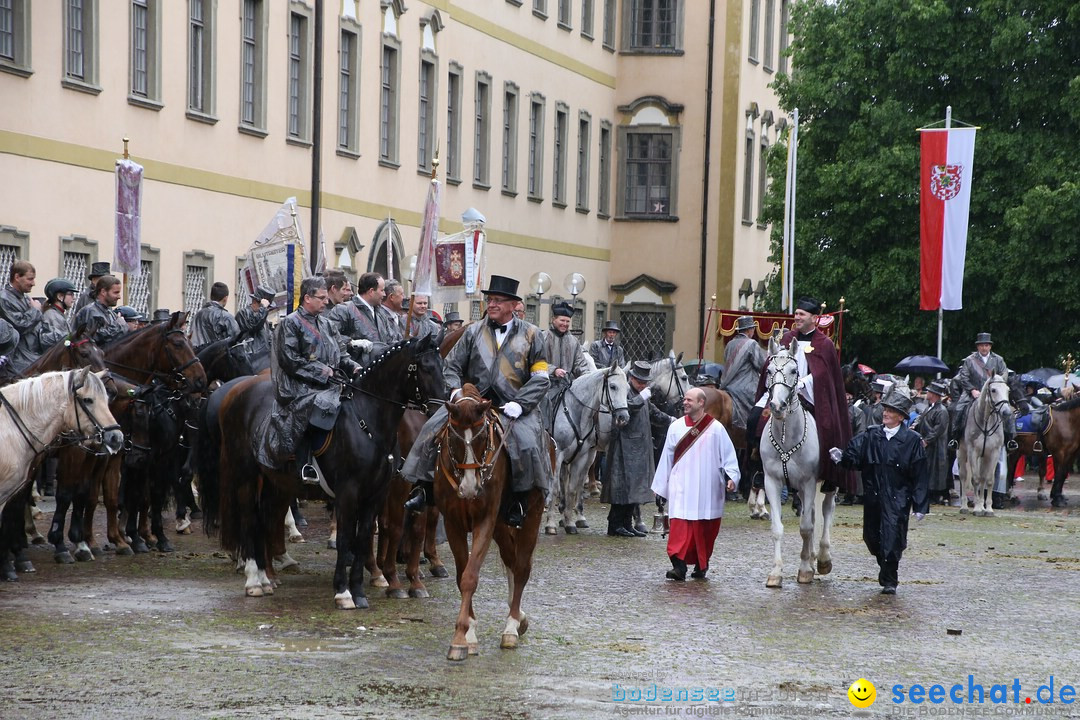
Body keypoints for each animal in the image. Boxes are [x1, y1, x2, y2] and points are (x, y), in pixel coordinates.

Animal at [203, 334, 442, 604]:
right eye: (426, 367)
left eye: (441, 364)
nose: (442, 409)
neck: (367, 421)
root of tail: (234, 393)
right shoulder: (349, 491)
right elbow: (346, 537)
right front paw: (343, 591)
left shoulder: (375, 493)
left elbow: (364, 536)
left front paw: (359, 592)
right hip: (246, 475)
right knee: (249, 518)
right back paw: (254, 579)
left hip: (274, 480)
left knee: (266, 518)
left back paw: (266, 578)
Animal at [434, 386, 544, 660]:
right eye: (455, 439)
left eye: (483, 437)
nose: (470, 488)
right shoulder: (453, 523)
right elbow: (461, 574)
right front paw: (469, 633)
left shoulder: (485, 520)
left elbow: (470, 577)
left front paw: (460, 639)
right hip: (502, 526)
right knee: (511, 560)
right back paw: (519, 618)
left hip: (532, 516)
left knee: (522, 568)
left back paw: (512, 626)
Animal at [963, 371, 1010, 518]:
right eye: (993, 390)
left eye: (1008, 390)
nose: (1006, 412)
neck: (985, 423)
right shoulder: (973, 452)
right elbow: (975, 479)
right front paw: (977, 508)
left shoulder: (994, 452)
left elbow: (988, 480)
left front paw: (988, 509)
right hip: (962, 453)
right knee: (963, 476)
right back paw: (964, 506)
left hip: (984, 457)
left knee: (983, 479)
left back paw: (982, 506)